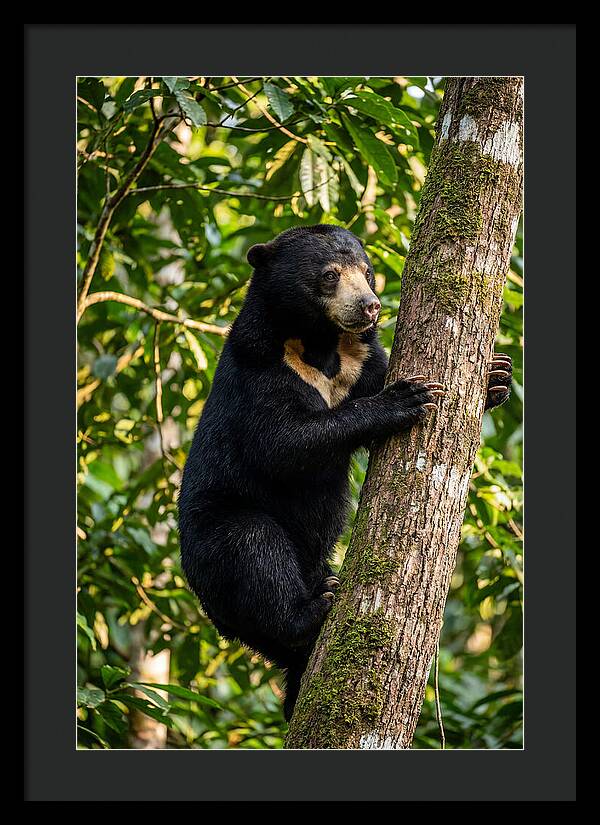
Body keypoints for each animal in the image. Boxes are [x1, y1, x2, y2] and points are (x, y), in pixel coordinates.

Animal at [178, 224, 512, 722]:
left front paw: (496, 376)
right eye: (330, 275)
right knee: (253, 548)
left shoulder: (361, 360)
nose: (370, 305)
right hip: (214, 537)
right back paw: (314, 607)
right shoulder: (259, 369)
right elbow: (281, 444)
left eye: (368, 272)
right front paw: (405, 398)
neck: (320, 345)